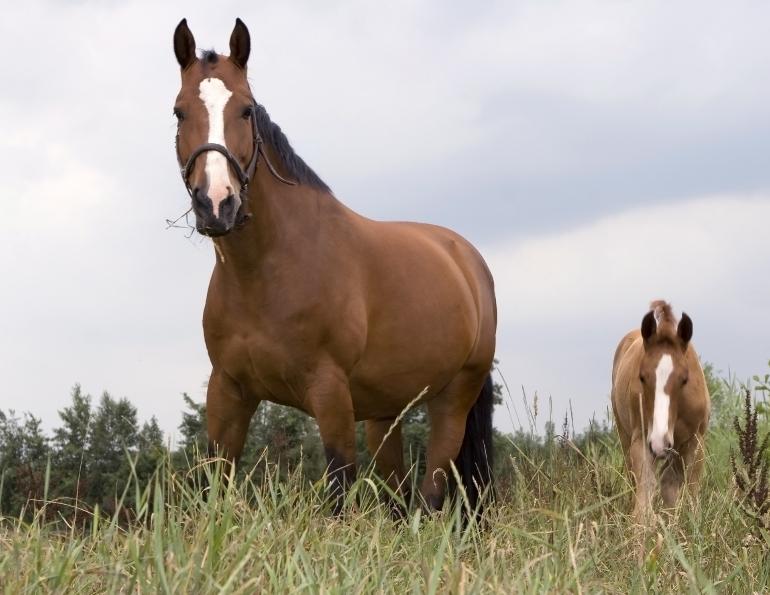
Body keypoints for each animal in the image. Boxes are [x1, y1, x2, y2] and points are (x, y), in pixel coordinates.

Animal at [170, 18, 497, 515]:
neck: (268, 271)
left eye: (246, 111)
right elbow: (215, 486)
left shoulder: (330, 395)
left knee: (430, 498)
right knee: (399, 499)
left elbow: (340, 493)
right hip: (385, 415)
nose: (216, 203)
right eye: (179, 112)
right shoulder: (227, 391)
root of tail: (466, 259)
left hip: (453, 400)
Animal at [611, 301, 710, 523]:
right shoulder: (642, 440)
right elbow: (644, 497)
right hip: (625, 436)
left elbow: (690, 492)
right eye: (641, 376)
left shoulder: (695, 442)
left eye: (684, 378)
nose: (660, 442)